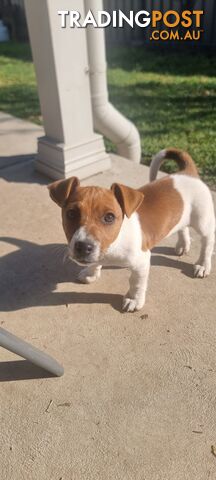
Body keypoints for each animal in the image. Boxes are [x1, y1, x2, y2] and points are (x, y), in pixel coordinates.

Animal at [48, 151, 215, 316]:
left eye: (109, 217)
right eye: (71, 214)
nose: (83, 247)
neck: (114, 243)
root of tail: (187, 172)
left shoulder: (142, 261)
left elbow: (136, 283)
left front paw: (134, 300)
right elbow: (95, 262)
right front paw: (91, 273)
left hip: (203, 220)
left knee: (207, 242)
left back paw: (203, 265)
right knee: (182, 227)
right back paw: (183, 244)